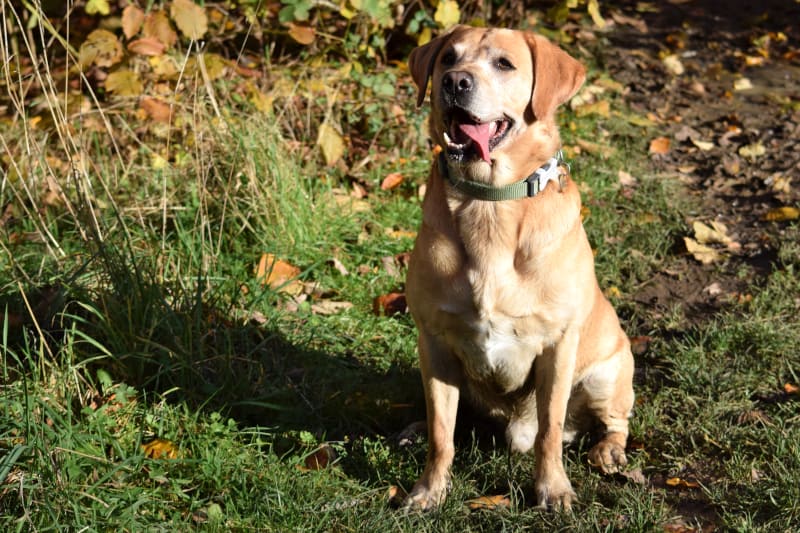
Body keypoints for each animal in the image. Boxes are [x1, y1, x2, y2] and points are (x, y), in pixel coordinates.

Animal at [404, 27, 636, 510]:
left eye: (504, 64)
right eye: (448, 58)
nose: (454, 82)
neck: (490, 202)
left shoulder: (557, 347)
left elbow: (549, 431)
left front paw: (553, 489)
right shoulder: (433, 341)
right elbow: (442, 433)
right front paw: (429, 489)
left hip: (608, 372)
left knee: (609, 422)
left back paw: (608, 450)